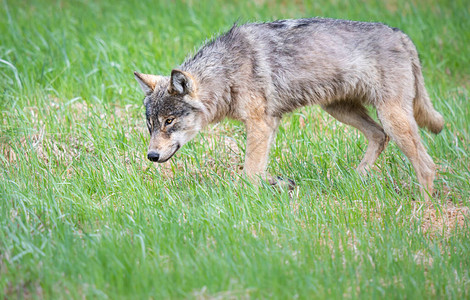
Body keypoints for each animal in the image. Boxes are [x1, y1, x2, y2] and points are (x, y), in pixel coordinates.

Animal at [133, 17, 444, 198]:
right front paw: (281, 184)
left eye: (169, 121)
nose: (151, 156)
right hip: (340, 110)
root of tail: (402, 35)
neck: (226, 72)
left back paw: (422, 211)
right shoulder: (268, 125)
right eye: (151, 125)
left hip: (391, 116)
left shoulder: (260, 125)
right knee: (379, 136)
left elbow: (250, 174)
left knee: (427, 166)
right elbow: (257, 172)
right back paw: (354, 179)